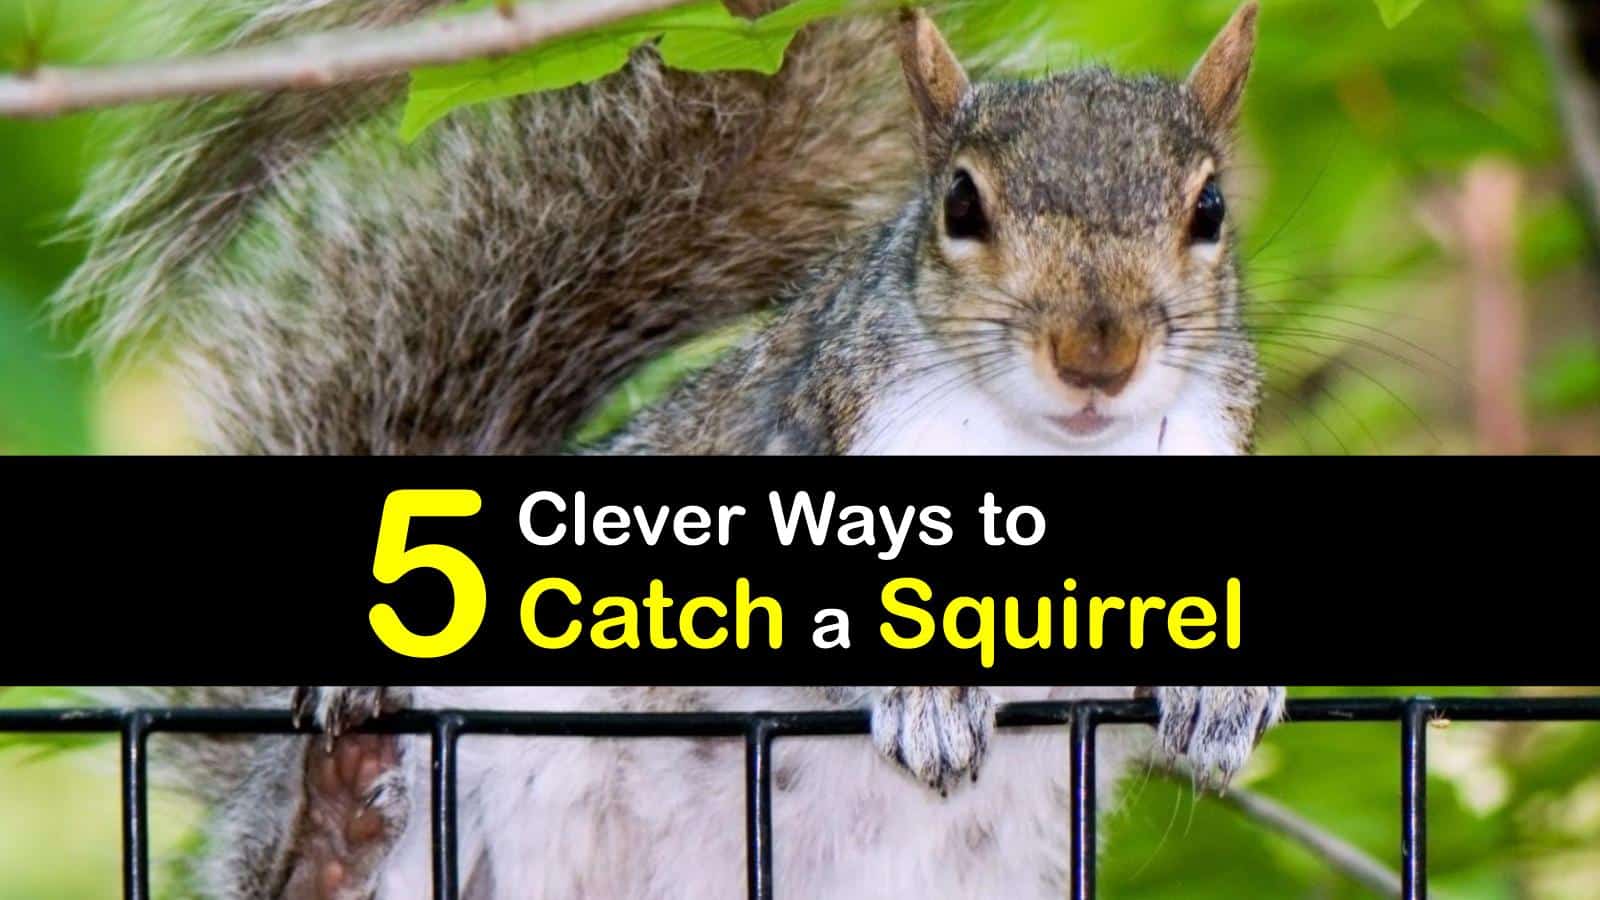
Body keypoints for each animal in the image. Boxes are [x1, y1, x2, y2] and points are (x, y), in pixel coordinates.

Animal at [61, 1, 1284, 898]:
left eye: (1211, 210)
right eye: (960, 204)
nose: (1097, 355)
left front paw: (1223, 685)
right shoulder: (805, 445)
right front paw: (931, 689)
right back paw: (333, 815)